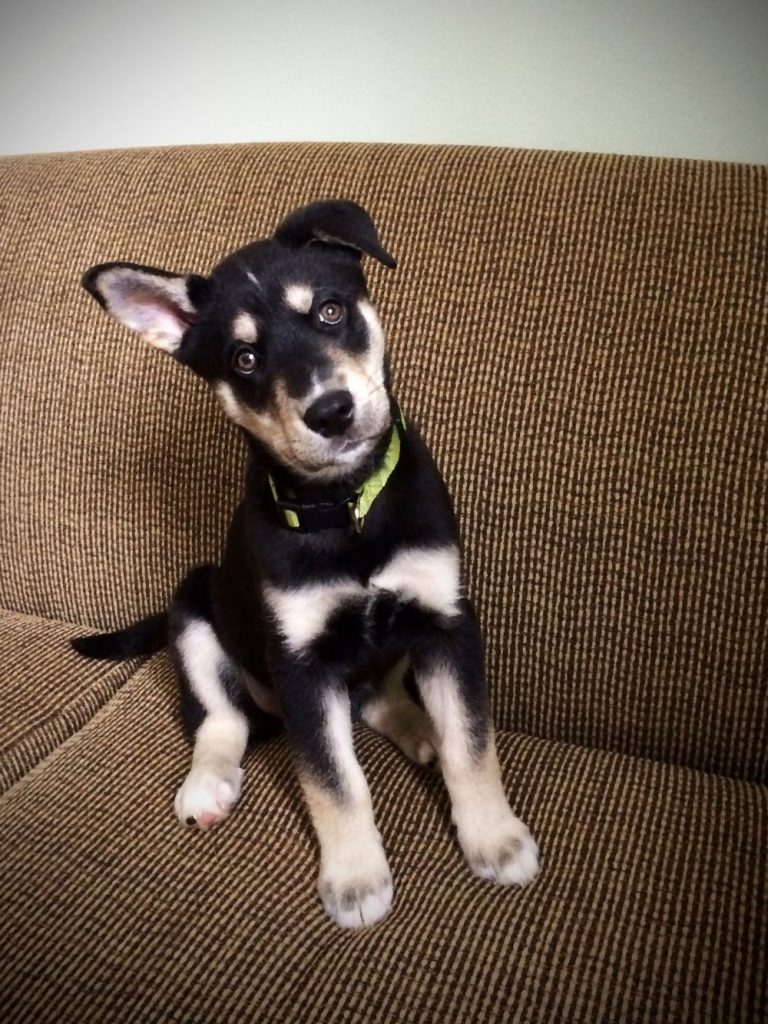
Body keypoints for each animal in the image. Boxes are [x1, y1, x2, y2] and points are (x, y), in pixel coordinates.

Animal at [73, 199, 540, 929]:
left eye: (328, 311)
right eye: (244, 358)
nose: (331, 412)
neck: (344, 507)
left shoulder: (446, 622)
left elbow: (471, 741)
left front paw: (495, 838)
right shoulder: (301, 665)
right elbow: (333, 779)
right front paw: (354, 878)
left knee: (376, 696)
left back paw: (420, 729)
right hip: (196, 607)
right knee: (223, 722)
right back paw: (207, 785)